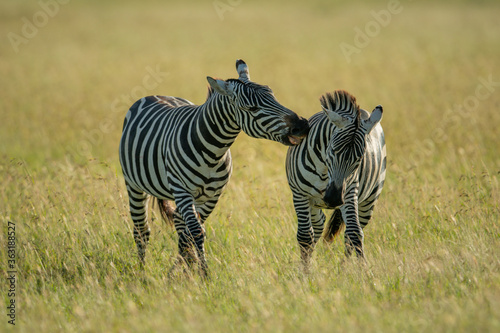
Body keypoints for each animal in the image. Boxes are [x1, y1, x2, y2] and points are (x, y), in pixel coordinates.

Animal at [119, 59, 310, 274]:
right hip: (134, 185)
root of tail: (156, 95)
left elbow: (193, 231)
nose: (302, 126)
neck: (212, 151)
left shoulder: (213, 195)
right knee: (141, 230)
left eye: (273, 95)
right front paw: (204, 273)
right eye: (252, 108)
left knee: (178, 222)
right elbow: (195, 232)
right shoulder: (182, 190)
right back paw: (142, 272)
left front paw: (187, 269)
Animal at [286, 89, 386, 266]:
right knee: (317, 225)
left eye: (360, 158)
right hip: (312, 202)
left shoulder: (350, 191)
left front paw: (363, 270)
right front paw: (304, 272)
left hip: (369, 200)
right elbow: (305, 236)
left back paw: (344, 267)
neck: (324, 170)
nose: (333, 198)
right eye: (333, 150)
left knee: (349, 235)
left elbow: (355, 234)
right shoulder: (299, 194)